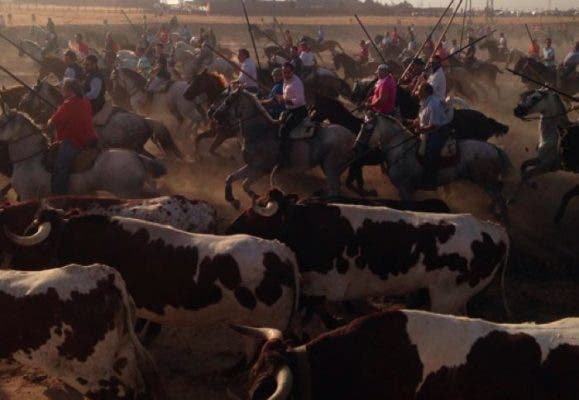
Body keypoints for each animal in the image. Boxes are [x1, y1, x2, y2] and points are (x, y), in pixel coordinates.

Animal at [212, 89, 356, 209]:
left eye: (227, 101)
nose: (214, 114)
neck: (261, 132)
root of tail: (352, 137)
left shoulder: (260, 168)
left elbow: (244, 184)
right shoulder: (252, 166)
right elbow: (231, 178)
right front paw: (233, 200)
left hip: (330, 167)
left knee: (334, 191)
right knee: (333, 191)